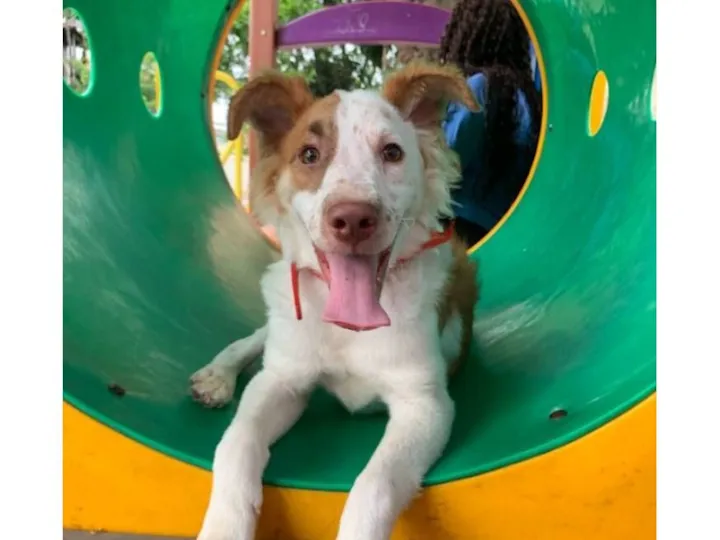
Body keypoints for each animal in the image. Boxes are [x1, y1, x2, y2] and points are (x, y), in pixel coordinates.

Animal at [190, 61, 480, 540]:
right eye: (309, 155)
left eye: (392, 152)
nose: (353, 219)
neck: (350, 330)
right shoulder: (280, 381)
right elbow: (234, 444)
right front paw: (223, 527)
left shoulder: (425, 404)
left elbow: (375, 483)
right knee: (256, 337)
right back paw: (217, 375)